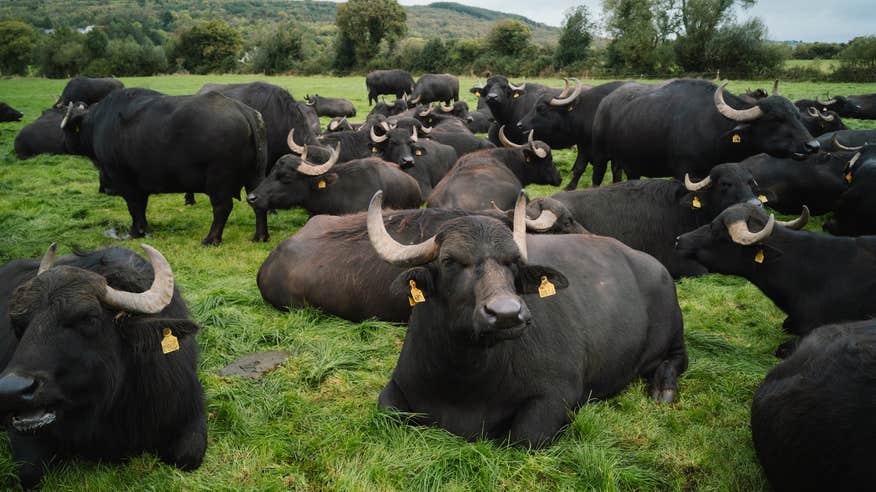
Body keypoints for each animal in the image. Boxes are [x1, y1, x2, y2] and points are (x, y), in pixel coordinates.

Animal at [61, 89, 269, 245]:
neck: (97, 123)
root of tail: (242, 109)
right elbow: (141, 207)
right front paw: (144, 229)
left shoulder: (126, 182)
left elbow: (134, 207)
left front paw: (135, 232)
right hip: (254, 177)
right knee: (257, 203)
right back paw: (260, 236)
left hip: (218, 179)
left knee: (222, 207)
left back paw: (211, 239)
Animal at [369, 191, 687, 446]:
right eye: (449, 261)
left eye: (513, 262)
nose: (507, 314)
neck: (467, 375)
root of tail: (656, 266)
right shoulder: (400, 385)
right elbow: (386, 408)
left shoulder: (557, 395)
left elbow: (525, 437)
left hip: (674, 330)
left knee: (677, 359)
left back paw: (663, 389)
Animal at [591, 79, 820, 182]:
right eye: (775, 119)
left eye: (797, 116)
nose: (813, 146)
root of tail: (605, 103)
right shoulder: (685, 174)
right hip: (601, 157)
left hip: (630, 163)